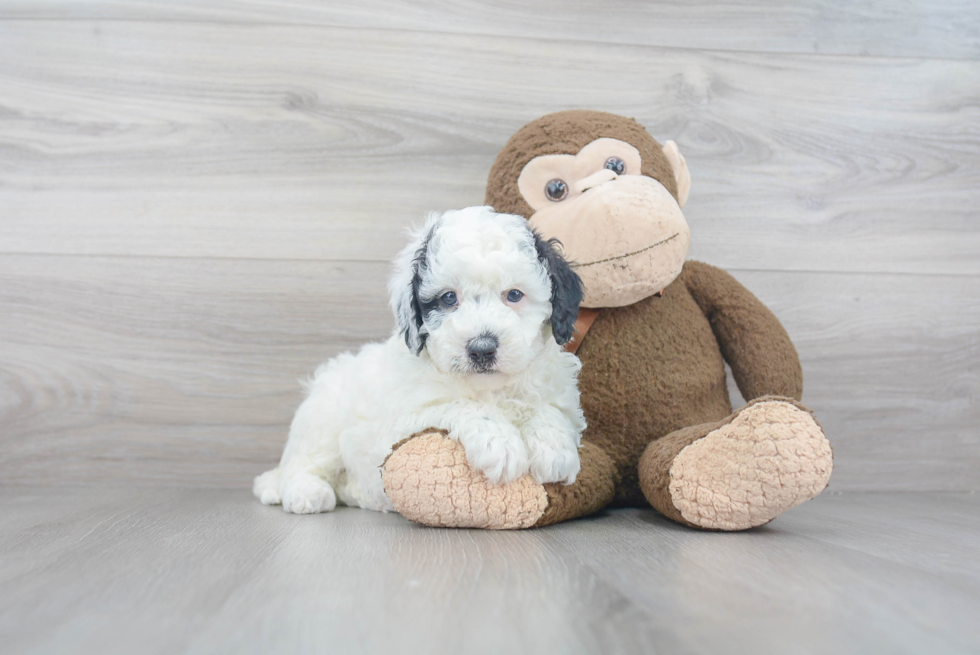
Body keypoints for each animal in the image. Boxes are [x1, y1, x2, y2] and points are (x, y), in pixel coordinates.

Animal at [256, 208, 584, 516]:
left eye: (514, 294)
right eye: (449, 298)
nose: (482, 348)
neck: (490, 388)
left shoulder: (560, 394)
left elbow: (549, 409)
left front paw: (554, 447)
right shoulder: (405, 420)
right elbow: (462, 405)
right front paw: (500, 444)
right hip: (323, 421)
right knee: (302, 466)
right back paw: (307, 493)